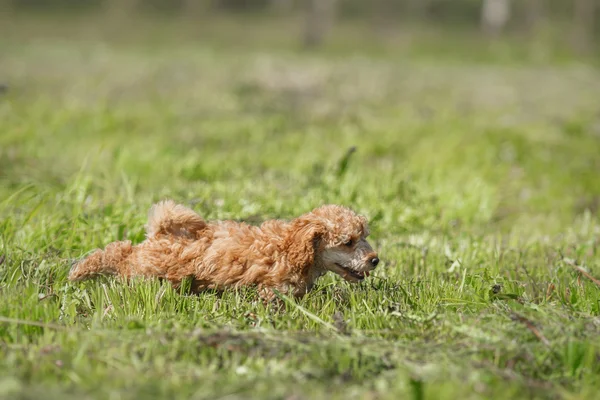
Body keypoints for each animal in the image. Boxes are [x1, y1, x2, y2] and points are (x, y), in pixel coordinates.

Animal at [69, 202, 380, 298]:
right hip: (144, 269)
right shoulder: (272, 289)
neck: (291, 246)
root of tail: (160, 235)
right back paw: (78, 272)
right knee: (118, 253)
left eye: (364, 236)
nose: (375, 260)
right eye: (348, 242)